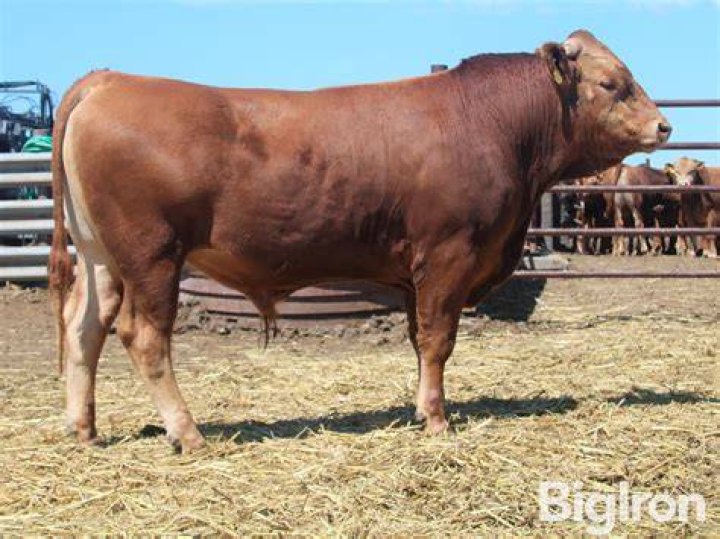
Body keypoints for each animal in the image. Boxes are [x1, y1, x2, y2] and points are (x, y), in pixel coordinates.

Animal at [49, 30, 671, 452]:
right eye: (612, 84)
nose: (663, 125)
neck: (490, 122)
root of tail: (109, 79)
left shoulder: (418, 270)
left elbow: (420, 342)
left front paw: (421, 408)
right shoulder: (448, 255)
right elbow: (439, 340)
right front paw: (437, 418)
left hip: (101, 256)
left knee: (84, 327)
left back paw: (84, 428)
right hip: (151, 254)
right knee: (143, 337)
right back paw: (188, 432)